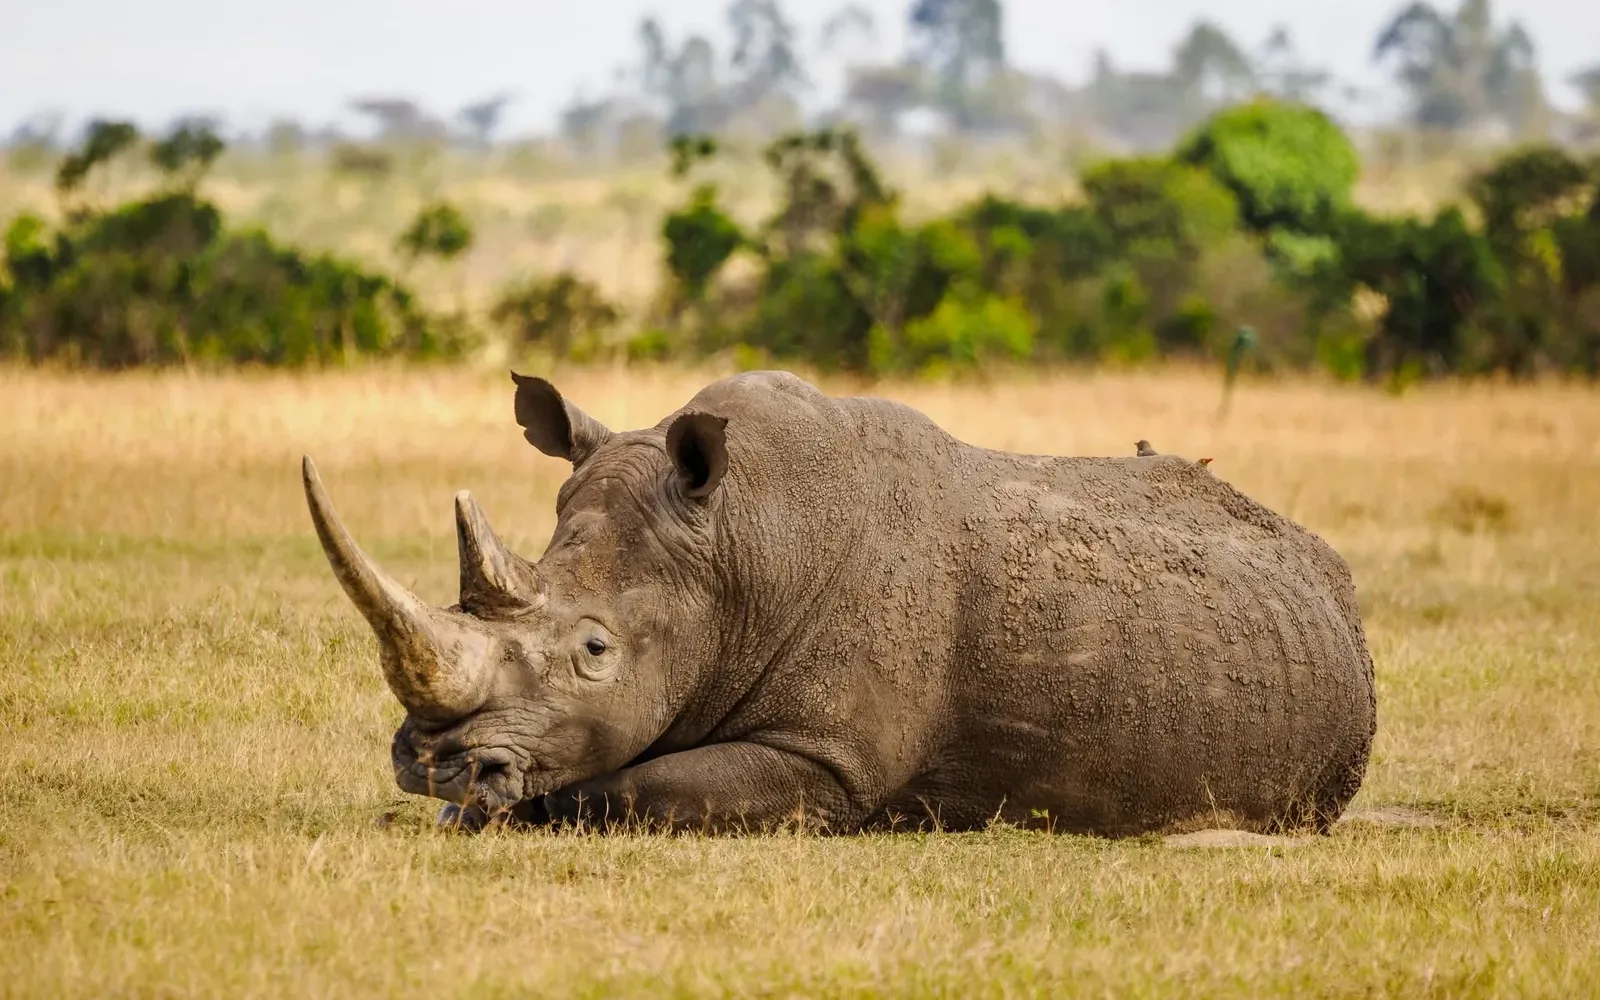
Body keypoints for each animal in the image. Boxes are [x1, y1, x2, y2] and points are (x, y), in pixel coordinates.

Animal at [303, 369, 1376, 836]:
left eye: (595, 652)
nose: (431, 765)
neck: (738, 546)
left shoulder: (829, 761)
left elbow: (626, 786)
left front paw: (514, 807)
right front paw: (471, 808)